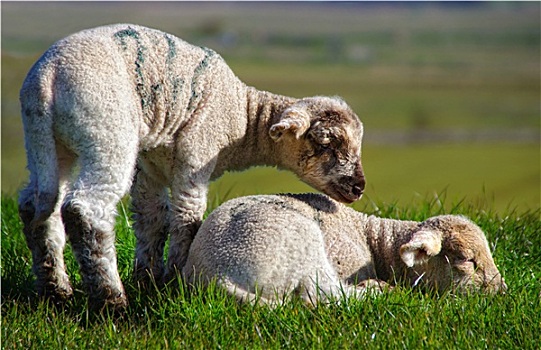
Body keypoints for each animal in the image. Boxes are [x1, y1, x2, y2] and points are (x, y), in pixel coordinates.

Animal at [17, 23, 362, 308]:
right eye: (325, 142)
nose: (359, 186)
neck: (241, 117)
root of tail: (47, 77)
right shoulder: (197, 153)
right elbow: (187, 217)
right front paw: (174, 279)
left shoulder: (150, 164)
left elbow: (153, 218)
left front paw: (149, 280)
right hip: (106, 127)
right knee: (85, 209)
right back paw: (111, 301)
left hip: (44, 141)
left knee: (37, 204)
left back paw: (55, 291)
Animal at [182, 193, 506, 304]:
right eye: (465, 260)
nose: (502, 291)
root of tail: (216, 275)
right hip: (303, 248)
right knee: (323, 296)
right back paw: (378, 290)